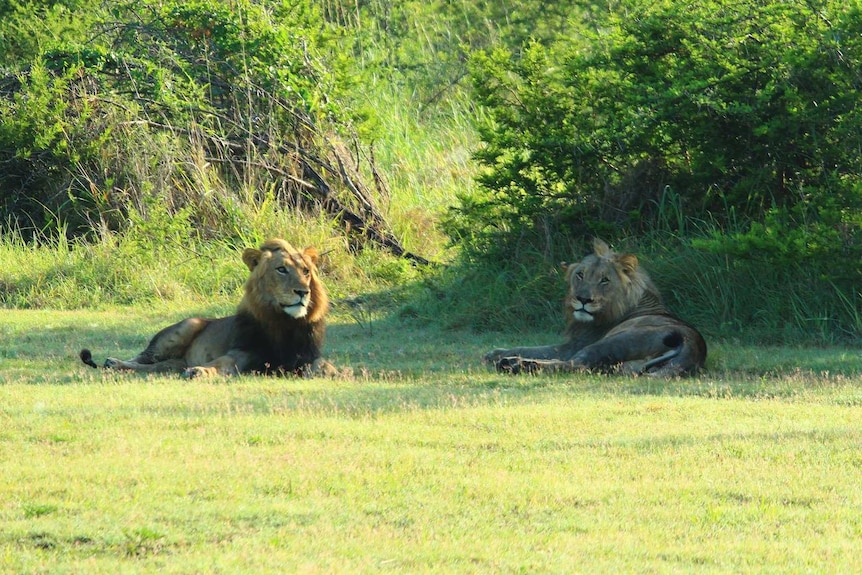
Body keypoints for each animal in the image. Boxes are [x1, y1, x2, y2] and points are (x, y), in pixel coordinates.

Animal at [80, 238, 338, 378]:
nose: (303, 292)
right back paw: (113, 362)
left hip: (173, 363)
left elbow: (323, 364)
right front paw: (200, 372)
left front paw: (337, 373)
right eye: (281, 269)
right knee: (142, 358)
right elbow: (220, 363)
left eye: (306, 271)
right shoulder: (242, 352)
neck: (283, 323)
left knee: (158, 367)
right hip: (185, 328)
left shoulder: (306, 355)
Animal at [486, 238, 708, 378]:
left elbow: (536, 348)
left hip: (611, 342)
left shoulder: (573, 345)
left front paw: (494, 353)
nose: (583, 299)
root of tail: (693, 348)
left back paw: (514, 364)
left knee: (575, 365)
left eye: (604, 280)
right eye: (580, 275)